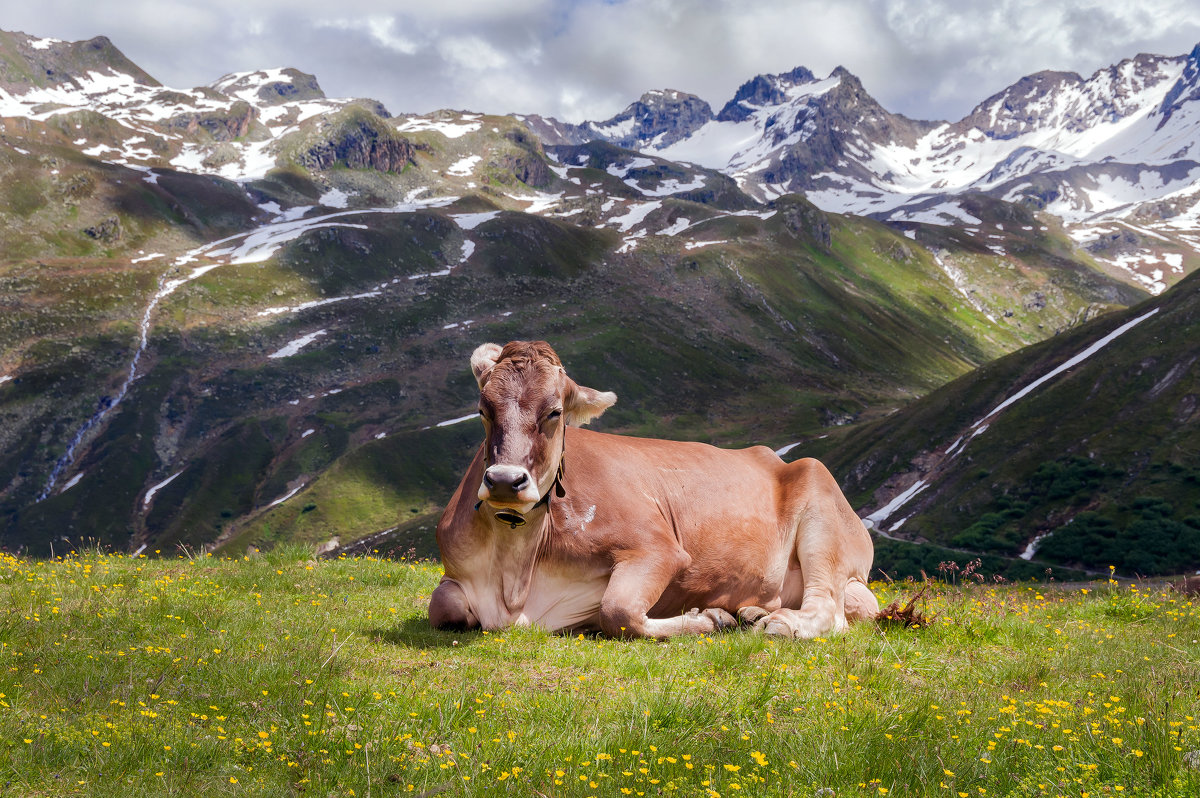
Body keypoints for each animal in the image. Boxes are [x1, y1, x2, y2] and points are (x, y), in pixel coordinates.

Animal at [427, 338, 878, 638]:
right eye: (483, 409)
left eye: (554, 412)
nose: (505, 480)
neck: (514, 577)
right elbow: (442, 607)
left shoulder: (657, 548)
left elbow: (618, 611)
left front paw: (709, 618)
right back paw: (752, 613)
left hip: (821, 502)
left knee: (830, 609)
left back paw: (778, 623)